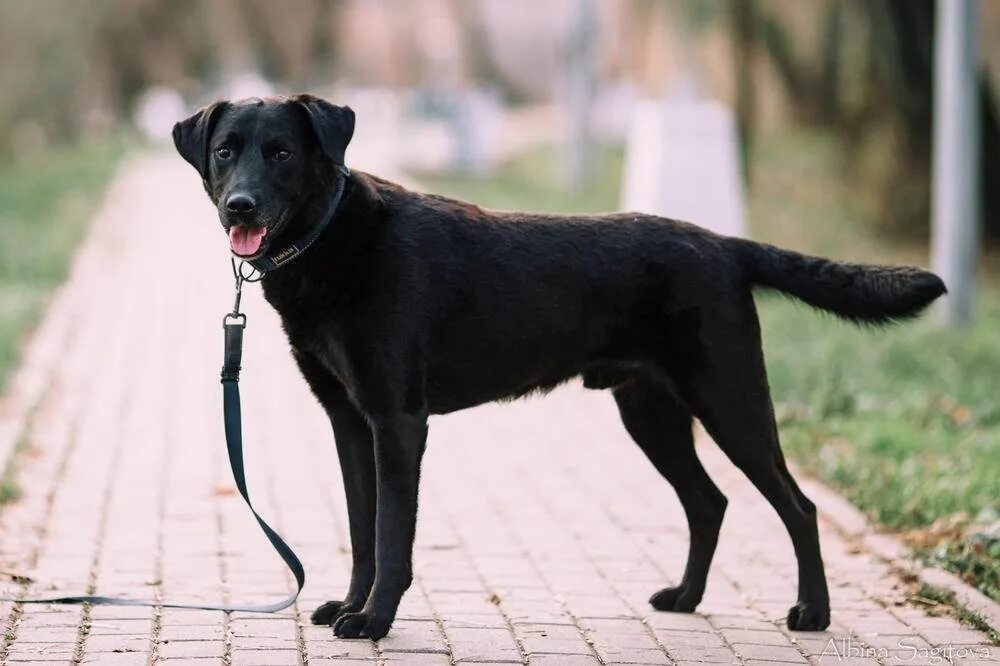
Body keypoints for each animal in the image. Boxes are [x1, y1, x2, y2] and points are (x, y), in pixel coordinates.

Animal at [174, 94, 944, 640]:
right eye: (225, 151)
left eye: (280, 153)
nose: (240, 205)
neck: (334, 237)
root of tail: (726, 244)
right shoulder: (348, 422)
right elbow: (364, 531)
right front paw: (350, 604)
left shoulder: (397, 422)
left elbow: (393, 536)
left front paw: (373, 621)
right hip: (651, 413)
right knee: (710, 502)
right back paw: (686, 598)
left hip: (731, 403)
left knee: (797, 505)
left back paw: (812, 613)